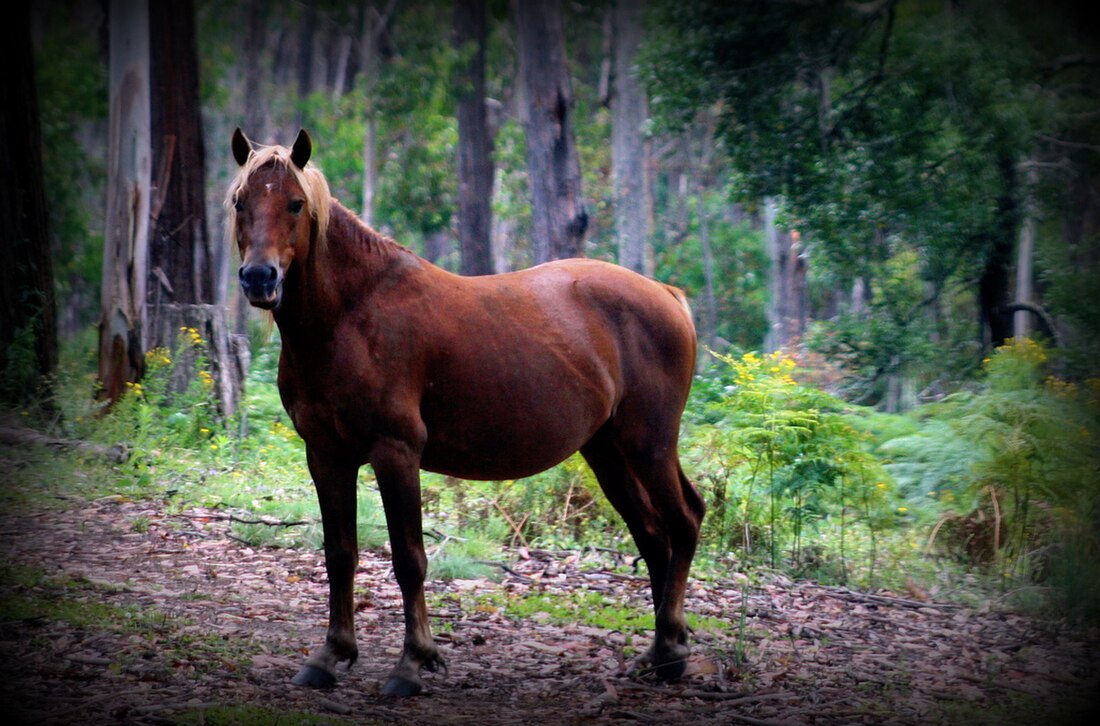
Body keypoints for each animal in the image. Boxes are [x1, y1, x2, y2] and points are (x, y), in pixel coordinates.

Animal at [226, 127, 704, 695]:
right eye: (240, 202)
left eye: (296, 204)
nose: (260, 278)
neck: (350, 318)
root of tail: (667, 295)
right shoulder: (326, 455)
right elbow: (339, 555)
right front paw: (330, 656)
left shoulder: (396, 452)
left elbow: (409, 559)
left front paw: (413, 663)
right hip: (607, 451)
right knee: (654, 537)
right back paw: (662, 654)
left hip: (649, 445)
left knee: (683, 523)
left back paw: (671, 646)